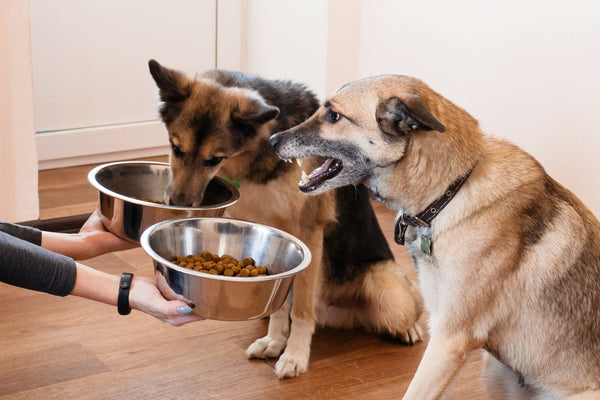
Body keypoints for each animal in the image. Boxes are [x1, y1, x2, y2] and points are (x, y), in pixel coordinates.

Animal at [148, 61, 424, 378]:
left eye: (213, 160)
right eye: (176, 148)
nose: (178, 204)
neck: (259, 156)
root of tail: (334, 314)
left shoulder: (309, 236)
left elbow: (300, 310)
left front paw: (295, 355)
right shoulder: (275, 237)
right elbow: (280, 302)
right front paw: (275, 341)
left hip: (388, 289)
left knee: (410, 305)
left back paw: (409, 329)